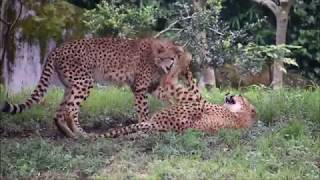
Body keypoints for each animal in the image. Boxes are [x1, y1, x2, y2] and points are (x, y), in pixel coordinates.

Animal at [1, 37, 189, 137]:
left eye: (173, 58)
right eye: (167, 58)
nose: (170, 67)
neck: (154, 57)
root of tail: (59, 47)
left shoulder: (150, 87)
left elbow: (167, 96)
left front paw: (179, 108)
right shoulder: (140, 87)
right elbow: (143, 110)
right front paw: (144, 126)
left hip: (70, 85)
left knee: (59, 113)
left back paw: (70, 135)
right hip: (84, 82)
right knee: (70, 110)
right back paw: (82, 134)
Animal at [92, 52, 258, 138]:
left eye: (240, 96)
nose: (230, 93)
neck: (240, 116)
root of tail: (155, 123)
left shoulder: (200, 101)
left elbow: (193, 87)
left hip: (186, 108)